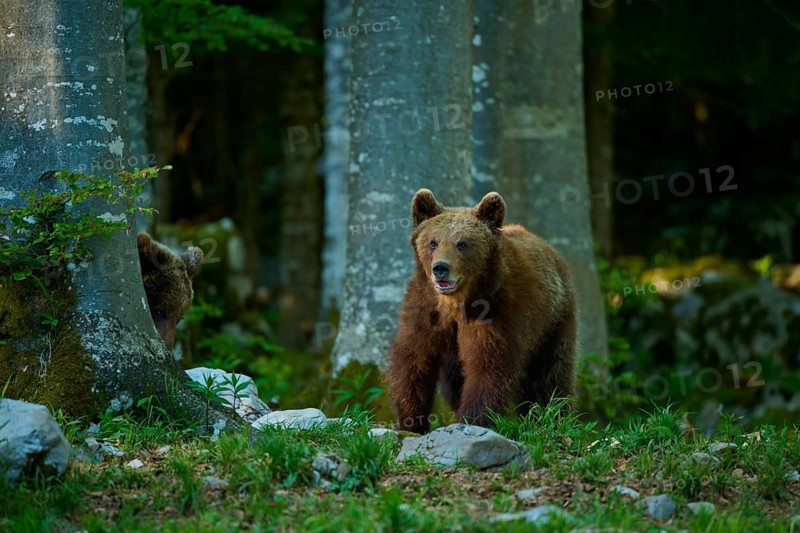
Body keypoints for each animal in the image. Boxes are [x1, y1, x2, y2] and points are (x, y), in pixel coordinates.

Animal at [386, 189, 577, 433]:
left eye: (462, 243)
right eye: (433, 242)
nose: (441, 268)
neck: (456, 303)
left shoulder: (496, 314)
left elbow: (487, 367)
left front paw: (472, 419)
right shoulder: (425, 312)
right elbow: (414, 361)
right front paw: (411, 421)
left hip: (554, 322)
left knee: (550, 374)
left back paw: (551, 417)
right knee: (454, 382)